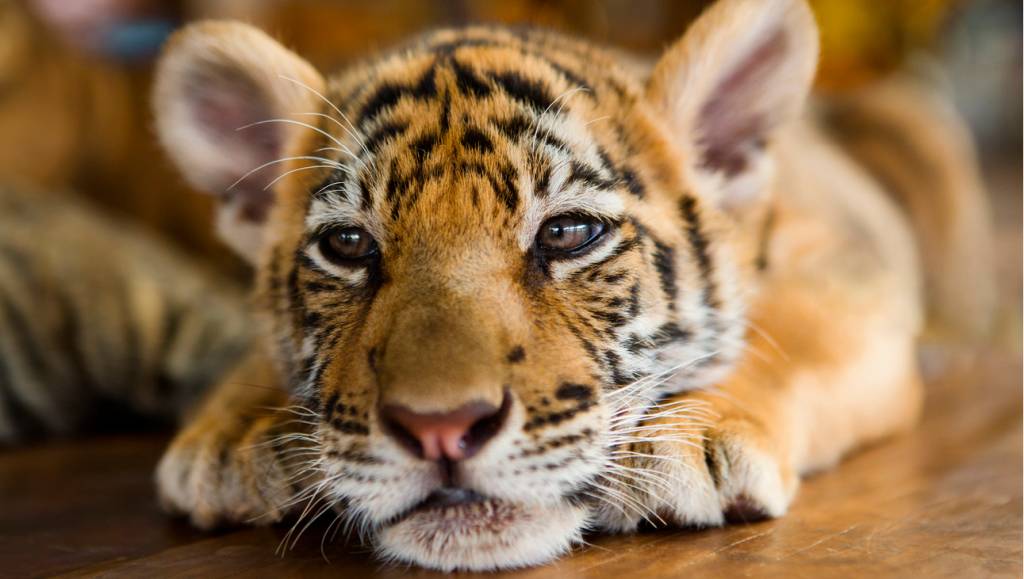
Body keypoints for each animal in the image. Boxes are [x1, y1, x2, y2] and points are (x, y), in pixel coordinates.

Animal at [150, 0, 993, 571]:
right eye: (348, 245)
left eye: (567, 234)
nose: (440, 428)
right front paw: (232, 433)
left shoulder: (848, 267)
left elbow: (793, 328)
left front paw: (688, 437)